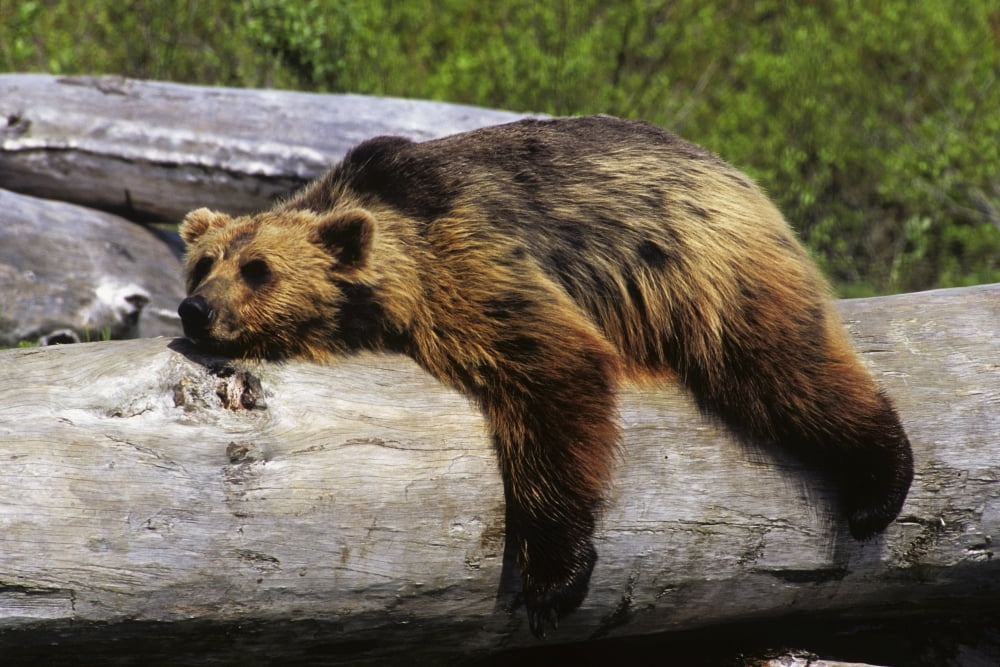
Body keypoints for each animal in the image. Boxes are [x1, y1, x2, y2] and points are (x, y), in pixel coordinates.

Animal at [177, 116, 913, 637]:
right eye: (204, 263)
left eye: (258, 269)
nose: (196, 308)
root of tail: (725, 165)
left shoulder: (469, 260)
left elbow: (553, 369)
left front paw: (554, 579)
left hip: (702, 263)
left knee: (779, 364)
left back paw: (877, 485)